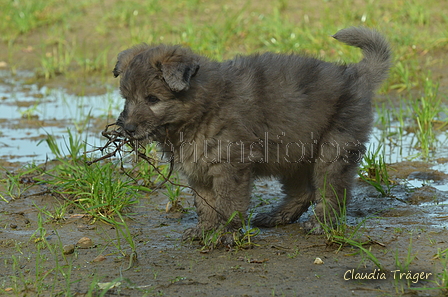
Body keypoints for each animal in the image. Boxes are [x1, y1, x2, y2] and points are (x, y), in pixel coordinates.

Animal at [114, 26, 390, 243]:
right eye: (127, 98)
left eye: (152, 99)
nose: (127, 128)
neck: (203, 108)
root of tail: (354, 75)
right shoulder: (199, 170)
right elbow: (205, 204)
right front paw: (204, 230)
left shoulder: (230, 165)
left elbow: (228, 203)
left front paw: (226, 233)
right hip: (293, 153)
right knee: (303, 191)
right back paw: (276, 216)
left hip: (332, 148)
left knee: (332, 191)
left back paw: (320, 224)